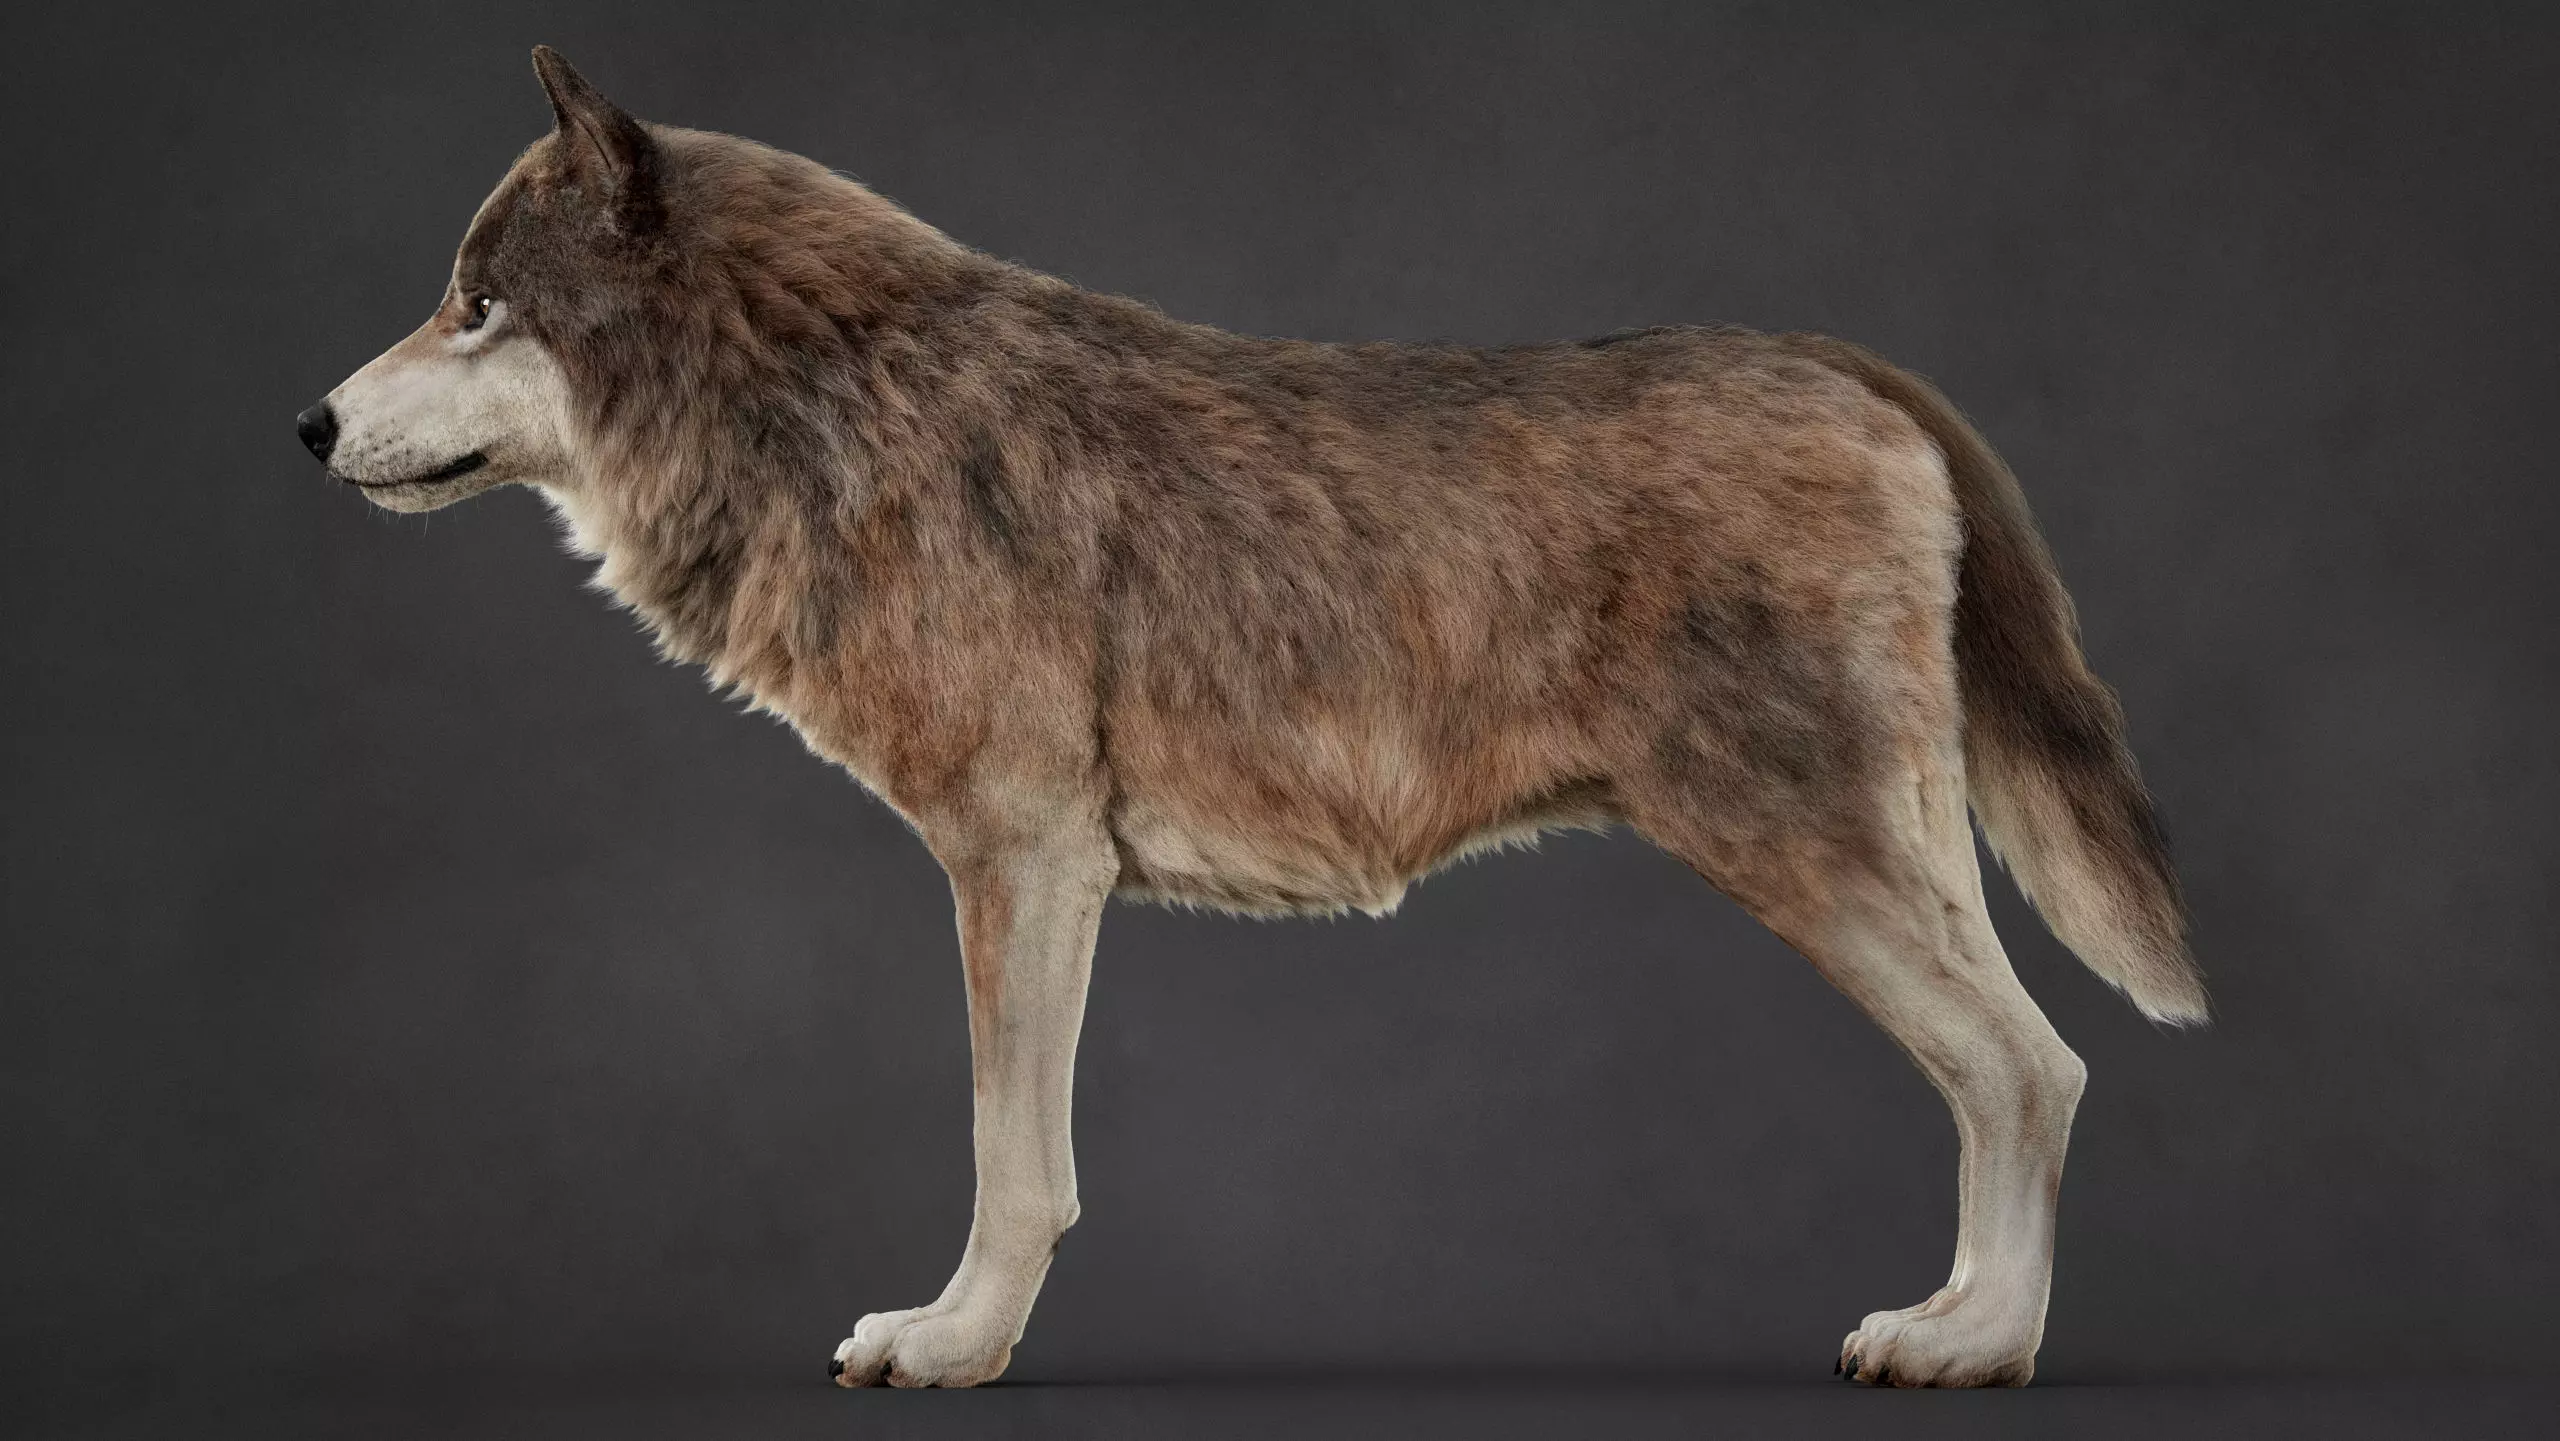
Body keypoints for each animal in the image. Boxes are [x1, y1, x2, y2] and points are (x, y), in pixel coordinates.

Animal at [296, 47, 2203, 1389]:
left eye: (476, 305)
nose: (306, 423)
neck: (833, 405)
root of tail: (1855, 368)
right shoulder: (1030, 871)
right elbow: (1020, 1151)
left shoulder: (1022, 861)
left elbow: (1012, 1159)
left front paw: (955, 1345)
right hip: (1887, 855)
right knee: (2015, 1070)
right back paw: (1958, 1314)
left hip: (1805, 856)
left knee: (2031, 1064)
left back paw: (1979, 1349)